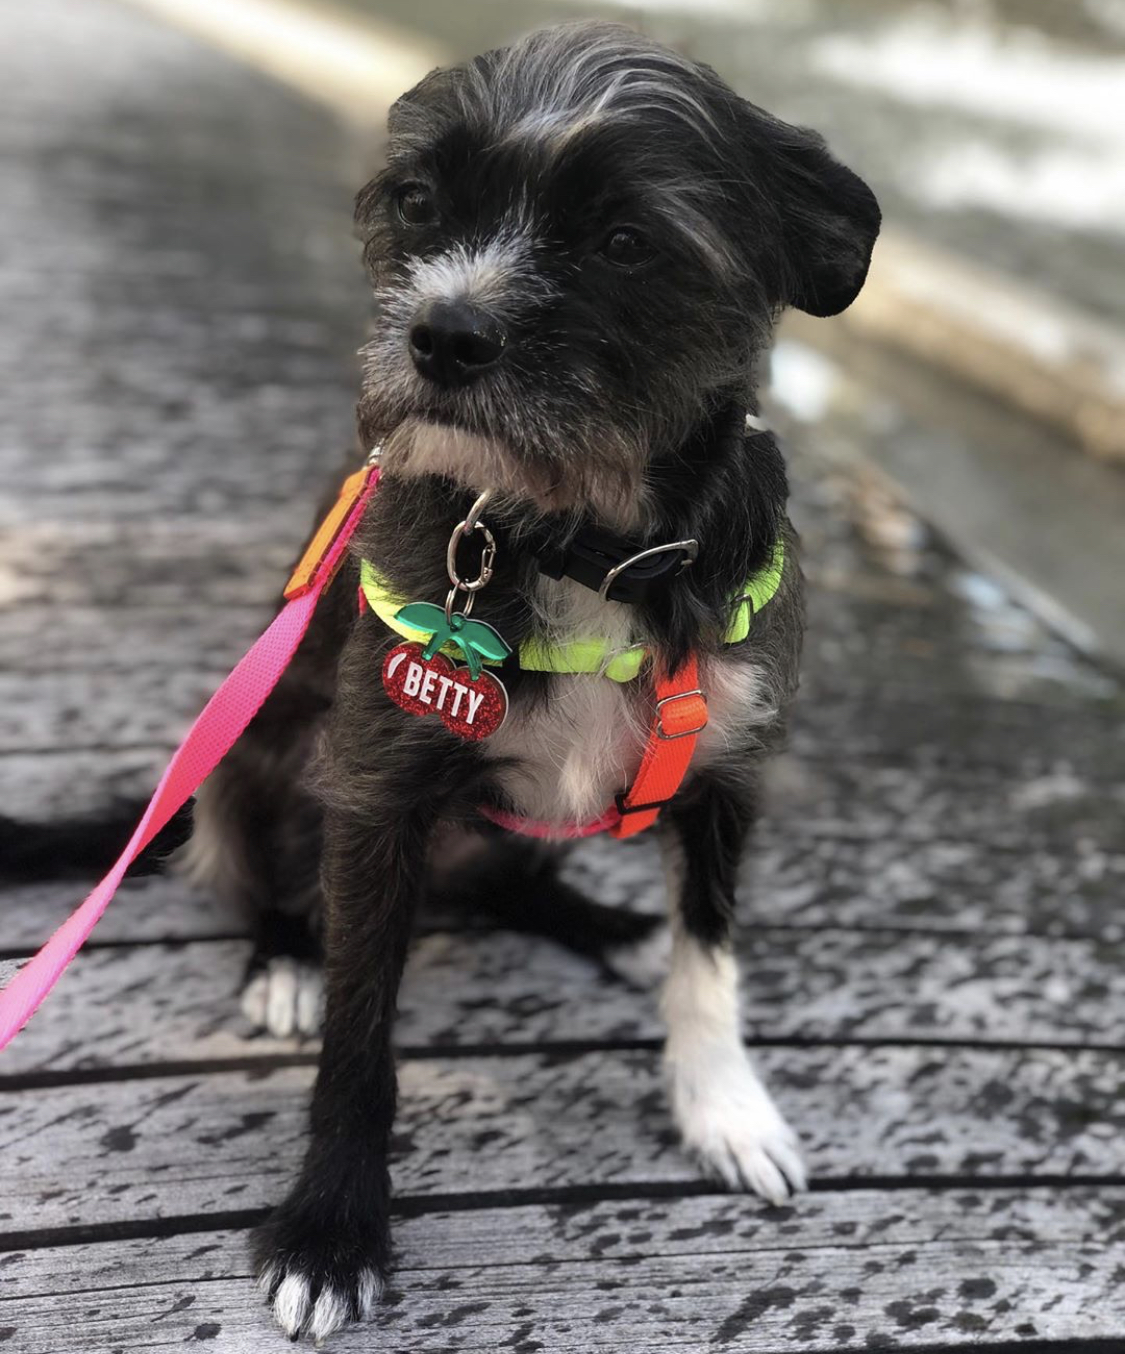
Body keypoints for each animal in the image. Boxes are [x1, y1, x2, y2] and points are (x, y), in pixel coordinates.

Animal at [182, 23, 877, 1343]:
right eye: (418, 201)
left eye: (624, 240)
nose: (441, 338)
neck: (588, 546)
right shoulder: (378, 797)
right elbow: (359, 1039)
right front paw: (331, 1228)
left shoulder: (730, 776)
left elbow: (710, 959)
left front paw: (727, 1106)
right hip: (247, 754)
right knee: (260, 878)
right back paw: (285, 958)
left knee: (526, 883)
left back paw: (604, 922)